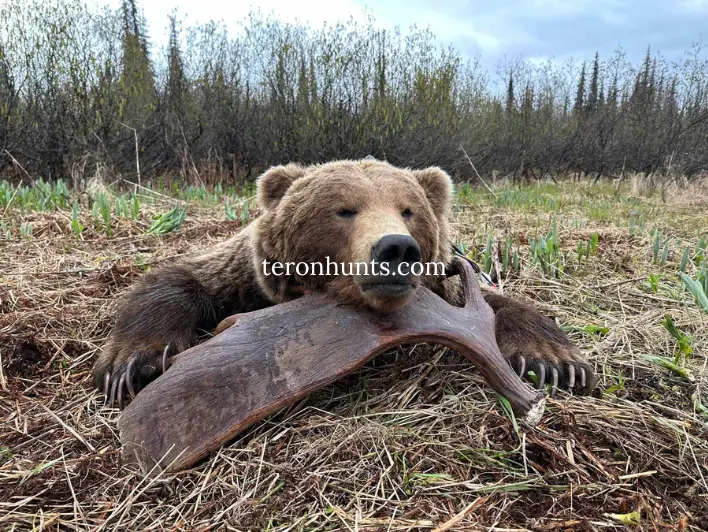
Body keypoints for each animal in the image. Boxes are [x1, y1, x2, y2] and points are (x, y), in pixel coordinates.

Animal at [93, 159, 595, 407]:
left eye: (408, 210)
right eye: (344, 209)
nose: (396, 249)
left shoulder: (444, 283)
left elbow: (496, 304)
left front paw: (556, 361)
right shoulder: (246, 276)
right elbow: (181, 277)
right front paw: (131, 364)